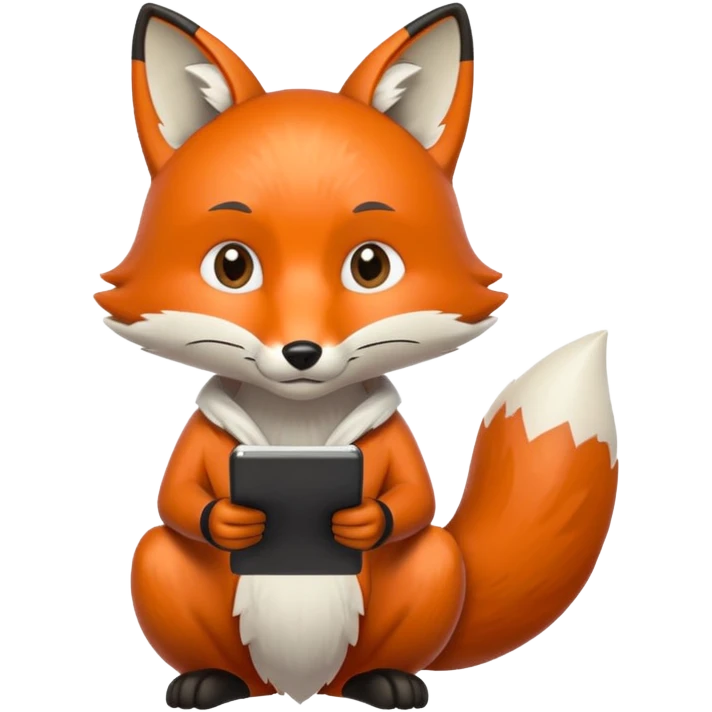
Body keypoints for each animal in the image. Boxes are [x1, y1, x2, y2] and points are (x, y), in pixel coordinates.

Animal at [104, 2, 620, 710]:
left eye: (369, 266)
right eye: (232, 266)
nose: (301, 352)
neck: (299, 429)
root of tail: (298, 688)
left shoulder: (392, 449)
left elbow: (413, 501)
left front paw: (361, 521)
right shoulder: (203, 446)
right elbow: (178, 499)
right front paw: (231, 521)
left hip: (434, 567)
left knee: (395, 626)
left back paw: (386, 681)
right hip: (156, 566)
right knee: (174, 571)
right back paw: (209, 681)